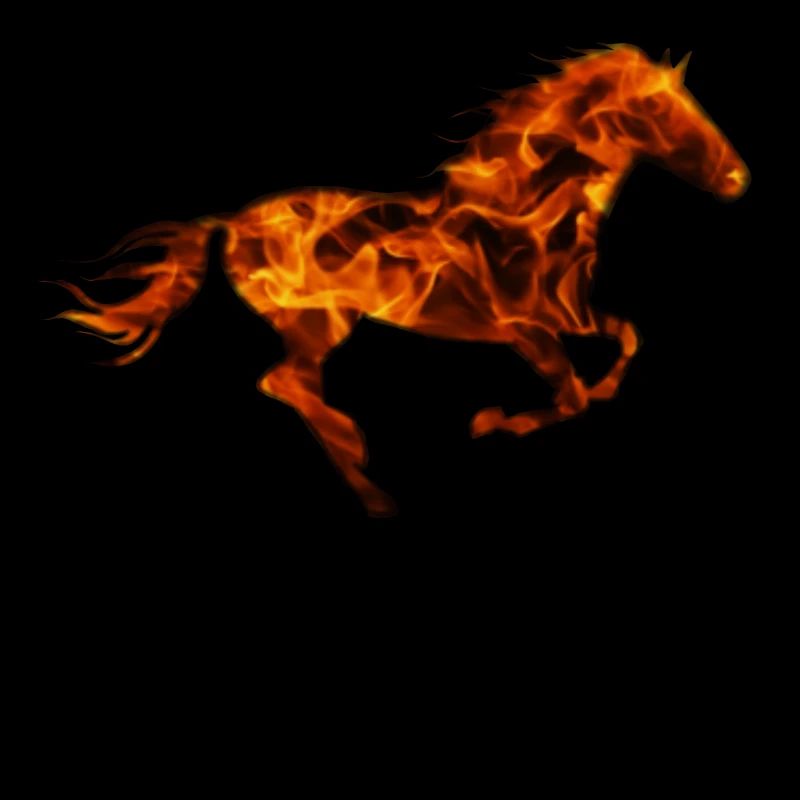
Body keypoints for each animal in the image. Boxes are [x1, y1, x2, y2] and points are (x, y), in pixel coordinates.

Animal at [54, 44, 750, 516]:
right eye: (658, 107)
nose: (739, 180)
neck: (523, 205)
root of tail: (228, 222)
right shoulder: (524, 328)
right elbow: (572, 394)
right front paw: (491, 423)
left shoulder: (572, 315)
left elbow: (626, 344)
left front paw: (522, 413)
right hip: (318, 321)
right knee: (282, 382)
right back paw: (366, 471)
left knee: (287, 383)